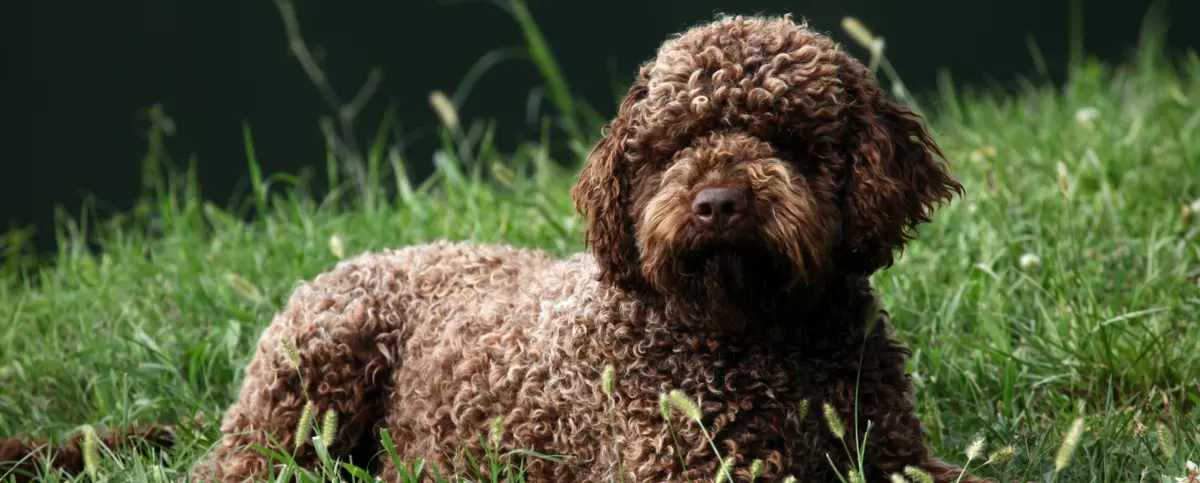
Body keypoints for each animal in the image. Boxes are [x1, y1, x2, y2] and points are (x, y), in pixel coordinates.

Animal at [4, 14, 988, 483]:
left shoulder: (894, 452)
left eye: (785, 137)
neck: (762, 337)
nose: (716, 203)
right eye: (672, 144)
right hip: (316, 375)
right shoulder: (690, 465)